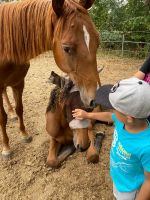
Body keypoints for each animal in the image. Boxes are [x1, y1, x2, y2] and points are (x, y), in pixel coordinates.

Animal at [0, 0, 101, 159]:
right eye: (67, 48)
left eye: (97, 43)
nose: (93, 99)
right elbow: (2, 118)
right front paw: (6, 148)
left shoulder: (19, 83)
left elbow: (20, 109)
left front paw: (24, 134)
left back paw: (11, 113)